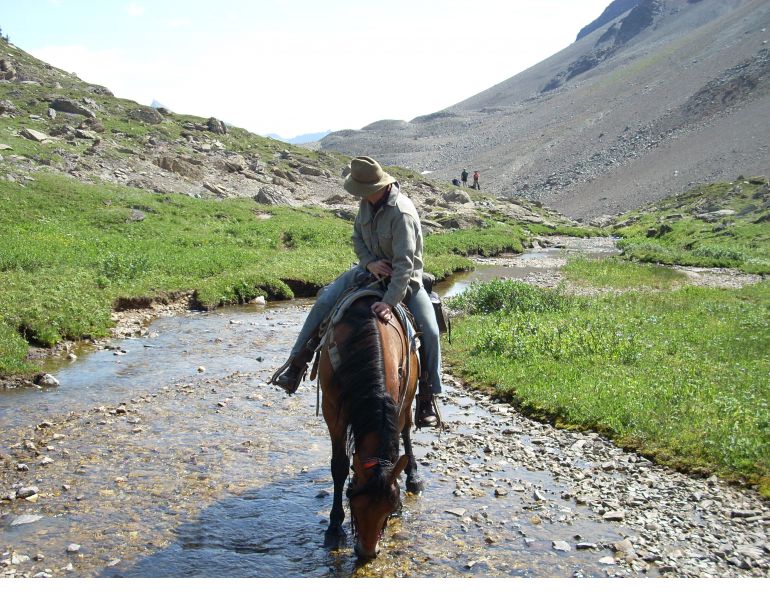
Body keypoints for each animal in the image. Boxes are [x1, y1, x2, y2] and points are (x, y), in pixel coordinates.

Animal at [318, 294, 423, 559]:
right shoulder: (332, 411)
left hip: (409, 398)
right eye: (354, 501)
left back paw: (414, 476)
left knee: (407, 431)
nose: (367, 552)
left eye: (388, 506)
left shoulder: (397, 406)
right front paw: (334, 526)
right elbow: (339, 466)